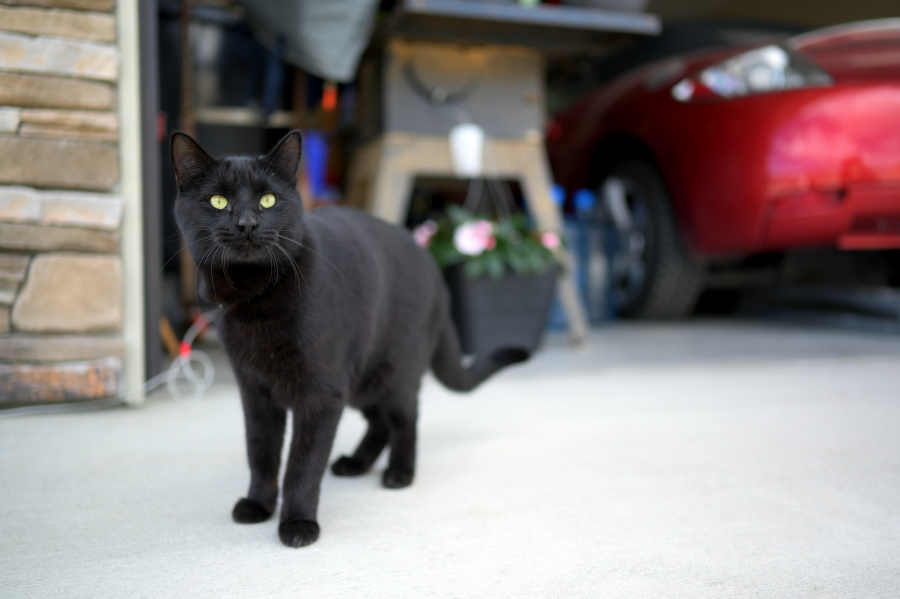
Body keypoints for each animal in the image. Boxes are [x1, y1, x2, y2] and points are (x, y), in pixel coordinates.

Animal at [170, 130, 529, 548]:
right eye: (218, 201)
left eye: (267, 200)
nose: (246, 223)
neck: (253, 299)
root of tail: (434, 269)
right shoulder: (256, 391)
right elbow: (260, 453)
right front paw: (258, 505)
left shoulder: (321, 392)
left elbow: (303, 464)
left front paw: (298, 524)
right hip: (360, 379)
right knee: (380, 422)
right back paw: (356, 464)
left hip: (392, 371)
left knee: (405, 419)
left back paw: (399, 473)